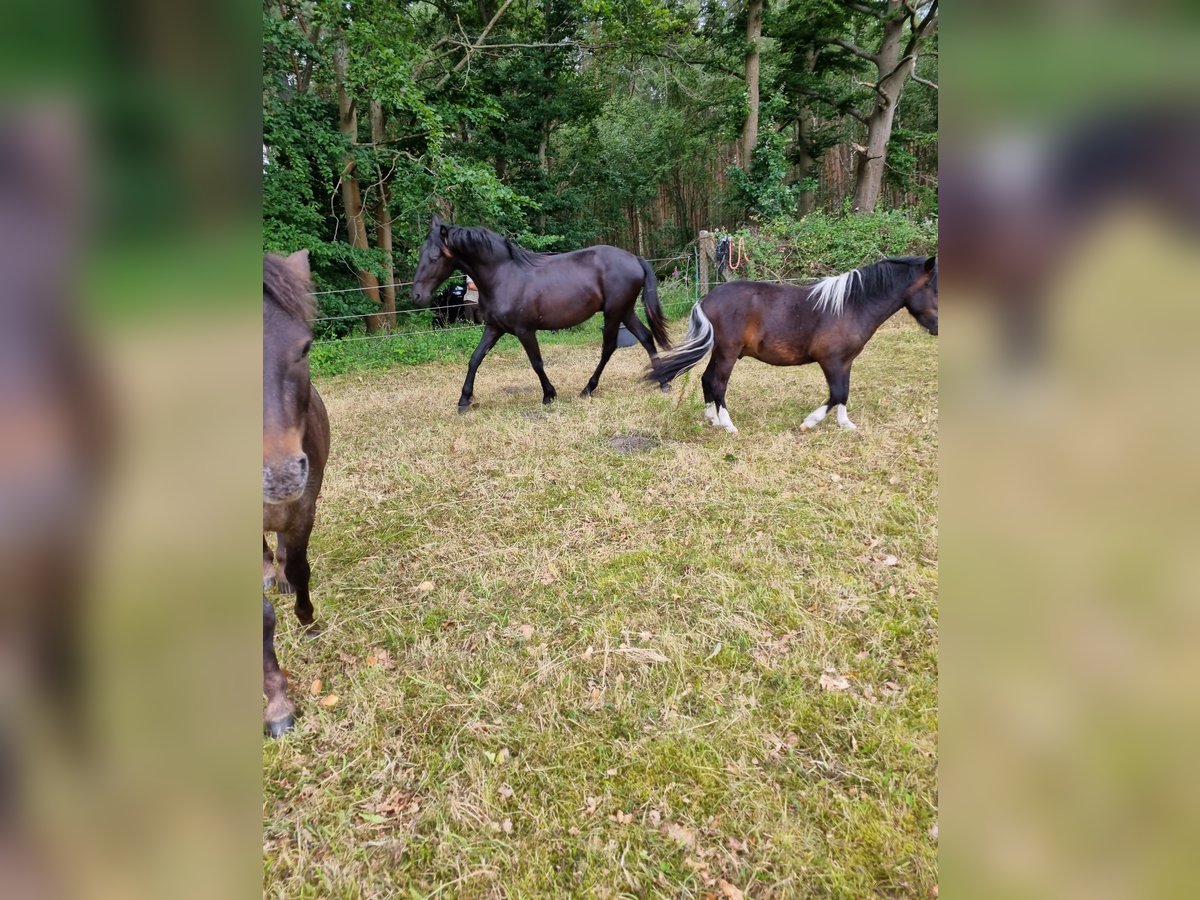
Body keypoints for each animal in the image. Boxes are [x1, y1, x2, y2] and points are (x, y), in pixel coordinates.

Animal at [410, 217, 676, 415]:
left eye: (434, 257)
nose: (416, 295)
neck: (503, 276)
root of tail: (635, 258)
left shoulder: (525, 330)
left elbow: (536, 362)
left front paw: (549, 395)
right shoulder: (494, 328)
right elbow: (475, 359)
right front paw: (464, 400)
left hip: (614, 313)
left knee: (609, 347)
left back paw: (588, 389)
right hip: (625, 311)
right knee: (646, 338)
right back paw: (663, 381)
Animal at [648, 255, 936, 434]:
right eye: (935, 289)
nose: (937, 328)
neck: (850, 305)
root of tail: (707, 299)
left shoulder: (845, 362)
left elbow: (844, 393)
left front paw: (845, 424)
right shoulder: (831, 361)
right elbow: (837, 393)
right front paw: (810, 422)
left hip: (719, 352)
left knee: (707, 379)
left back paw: (713, 419)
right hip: (728, 353)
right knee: (718, 384)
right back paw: (728, 425)